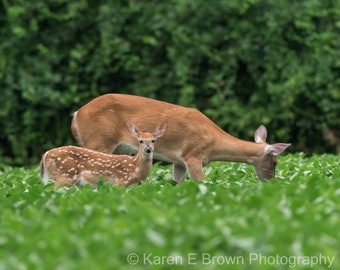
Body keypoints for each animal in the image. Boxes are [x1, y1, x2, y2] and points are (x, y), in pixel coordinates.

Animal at [70, 94, 290, 182]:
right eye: (275, 162)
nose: (271, 181)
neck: (213, 142)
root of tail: (76, 115)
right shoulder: (193, 155)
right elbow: (203, 182)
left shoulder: (178, 162)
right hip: (98, 141)